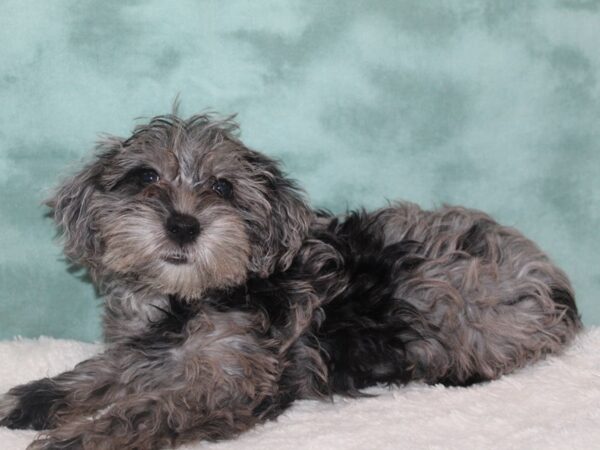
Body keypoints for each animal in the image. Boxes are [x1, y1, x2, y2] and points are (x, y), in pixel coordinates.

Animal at [0, 114, 580, 450]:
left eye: (223, 187)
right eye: (144, 177)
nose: (183, 224)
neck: (187, 297)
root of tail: (553, 277)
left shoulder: (234, 379)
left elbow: (151, 408)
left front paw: (78, 439)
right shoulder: (143, 348)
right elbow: (97, 372)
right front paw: (32, 400)